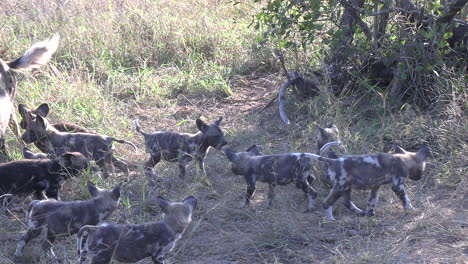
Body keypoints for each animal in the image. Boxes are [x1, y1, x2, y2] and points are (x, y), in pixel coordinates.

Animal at [302, 144, 430, 221]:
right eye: (422, 169)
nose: (419, 178)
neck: (404, 160)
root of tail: (334, 161)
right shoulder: (397, 186)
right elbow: (406, 199)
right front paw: (411, 210)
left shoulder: (375, 187)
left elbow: (371, 202)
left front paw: (370, 214)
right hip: (340, 188)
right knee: (327, 203)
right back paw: (331, 219)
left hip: (346, 188)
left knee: (347, 202)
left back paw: (360, 212)